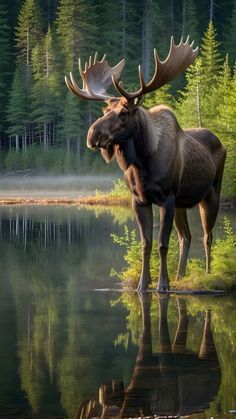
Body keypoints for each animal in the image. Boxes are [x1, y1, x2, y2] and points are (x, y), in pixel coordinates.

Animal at [65, 37, 227, 292]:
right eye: (105, 110)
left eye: (123, 113)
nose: (92, 134)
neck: (142, 164)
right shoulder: (139, 199)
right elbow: (146, 243)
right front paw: (143, 284)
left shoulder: (167, 198)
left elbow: (162, 243)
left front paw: (162, 285)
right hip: (182, 203)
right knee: (186, 237)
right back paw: (180, 276)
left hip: (211, 194)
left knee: (207, 236)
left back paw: (207, 275)